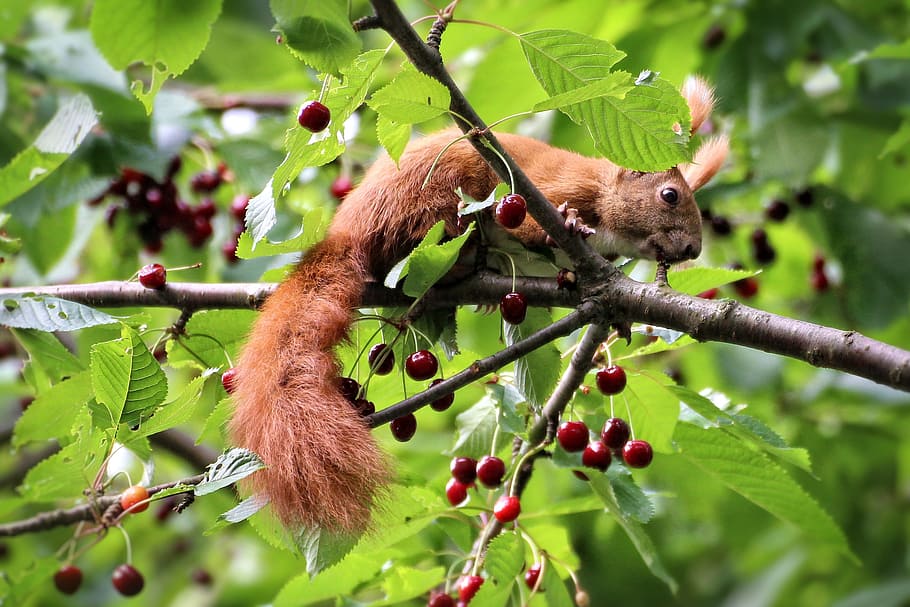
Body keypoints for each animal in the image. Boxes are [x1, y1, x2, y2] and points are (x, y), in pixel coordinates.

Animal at [228, 76, 729, 533]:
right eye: (670, 195)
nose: (693, 249)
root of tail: (351, 228)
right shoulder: (547, 188)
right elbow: (536, 221)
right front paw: (566, 224)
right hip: (439, 197)